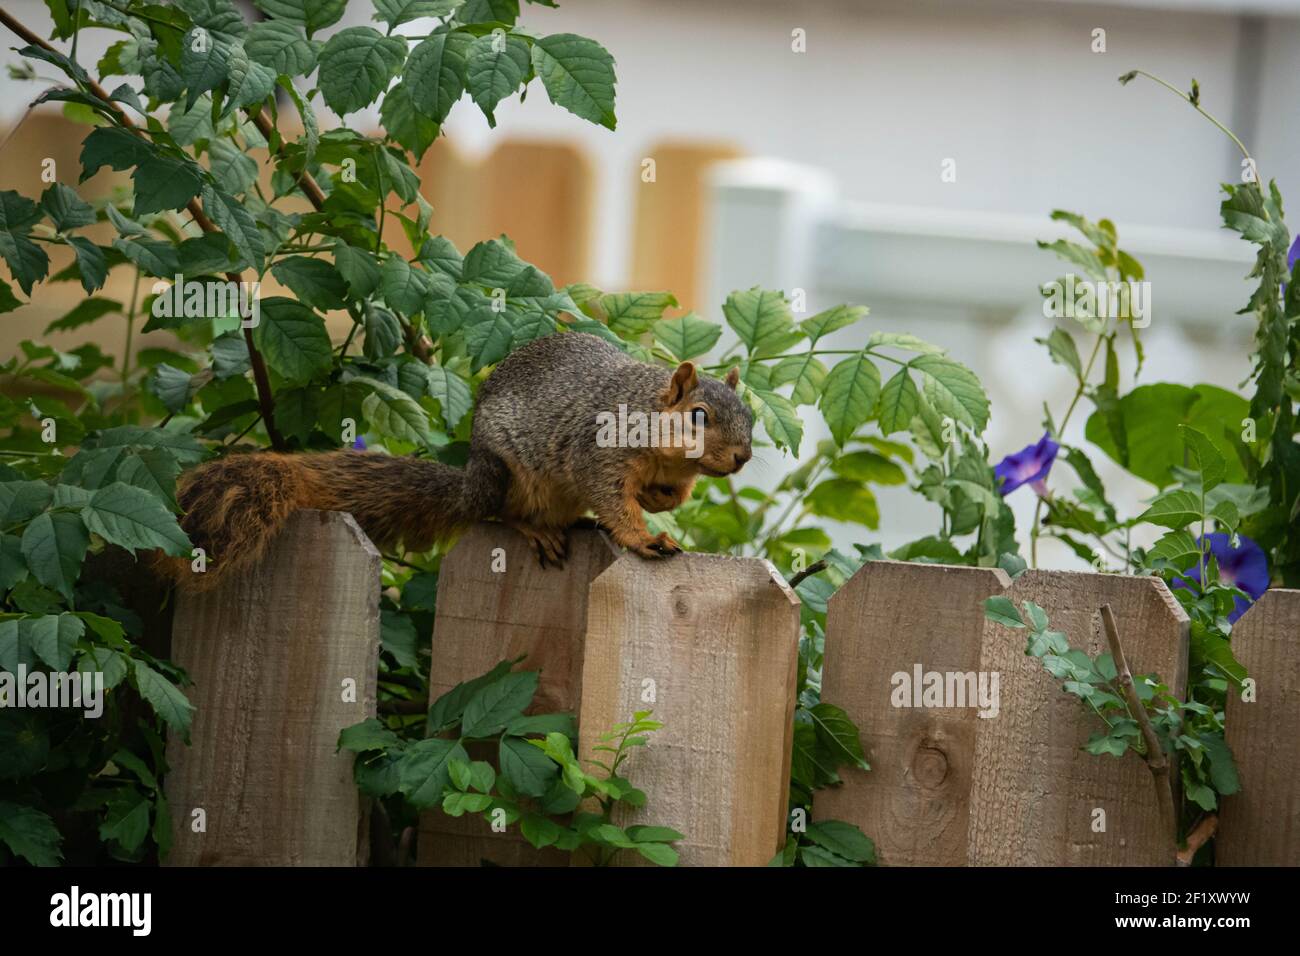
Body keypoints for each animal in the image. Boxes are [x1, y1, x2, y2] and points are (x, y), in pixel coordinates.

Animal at [159, 332, 754, 591]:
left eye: (750, 414)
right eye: (698, 417)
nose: (743, 457)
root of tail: (471, 480)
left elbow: (665, 495)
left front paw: (662, 501)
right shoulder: (598, 452)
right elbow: (613, 500)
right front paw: (646, 537)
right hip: (505, 476)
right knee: (499, 514)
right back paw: (534, 528)